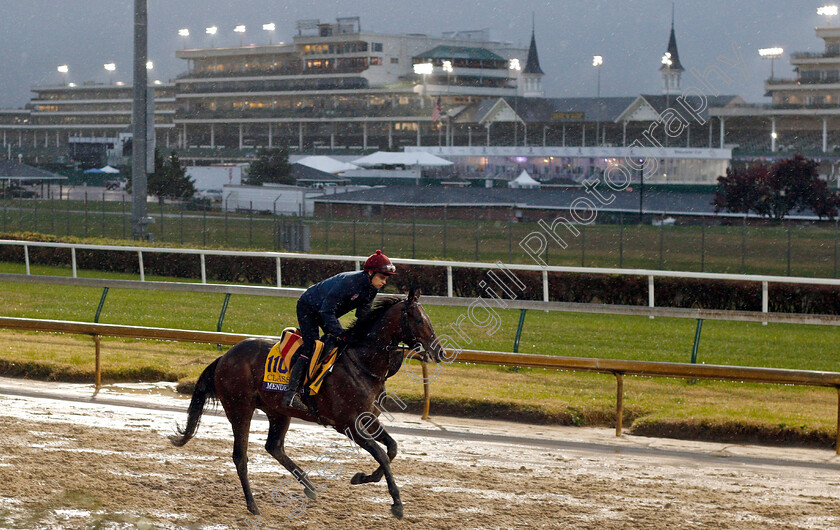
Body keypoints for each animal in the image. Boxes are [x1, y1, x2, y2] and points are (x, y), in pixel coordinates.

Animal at [172, 286, 446, 516]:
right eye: (419, 319)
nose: (439, 351)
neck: (362, 363)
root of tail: (225, 357)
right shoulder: (347, 423)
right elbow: (380, 453)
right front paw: (397, 503)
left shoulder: (367, 419)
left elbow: (392, 449)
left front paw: (362, 477)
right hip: (240, 409)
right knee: (240, 456)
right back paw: (253, 505)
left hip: (278, 411)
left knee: (274, 447)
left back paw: (309, 486)